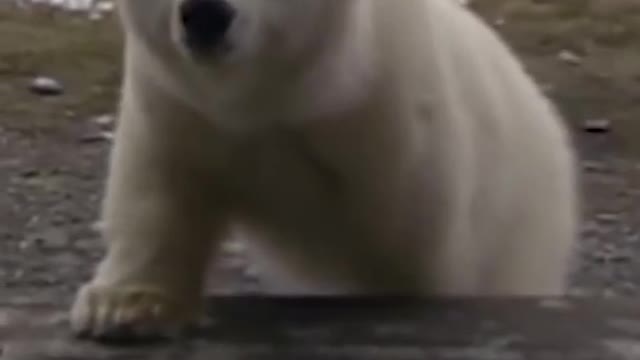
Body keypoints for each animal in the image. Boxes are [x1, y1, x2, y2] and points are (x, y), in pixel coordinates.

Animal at [70, 0, 580, 340]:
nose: (206, 15)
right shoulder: (177, 105)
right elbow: (159, 187)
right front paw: (120, 307)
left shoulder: (392, 124)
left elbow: (417, 255)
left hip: (526, 222)